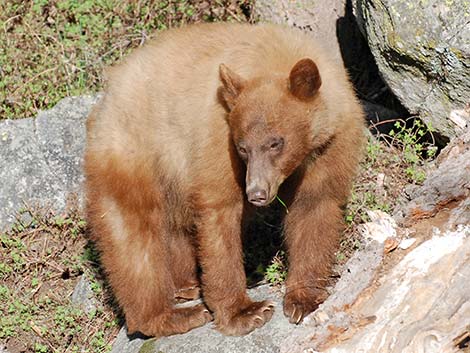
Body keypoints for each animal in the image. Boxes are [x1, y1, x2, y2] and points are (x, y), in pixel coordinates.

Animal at [83, 21, 364, 336]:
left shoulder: (329, 144)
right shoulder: (218, 134)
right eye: (243, 148)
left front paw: (303, 300)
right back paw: (170, 315)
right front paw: (246, 311)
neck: (272, 58)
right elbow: (220, 212)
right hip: (134, 152)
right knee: (134, 236)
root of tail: (106, 99)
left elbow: (314, 206)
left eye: (275, 143)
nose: (257, 193)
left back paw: (186, 285)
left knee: (174, 225)